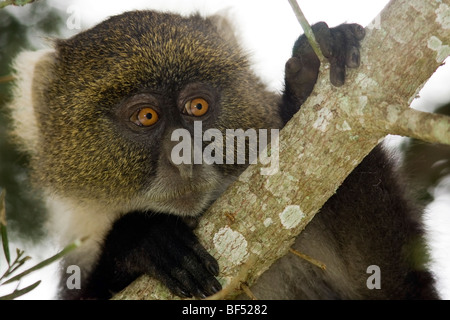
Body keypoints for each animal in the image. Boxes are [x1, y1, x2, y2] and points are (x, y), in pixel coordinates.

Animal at [5, 10, 438, 300]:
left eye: (197, 107)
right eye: (146, 116)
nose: (183, 155)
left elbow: (397, 287)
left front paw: (311, 75)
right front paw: (143, 238)